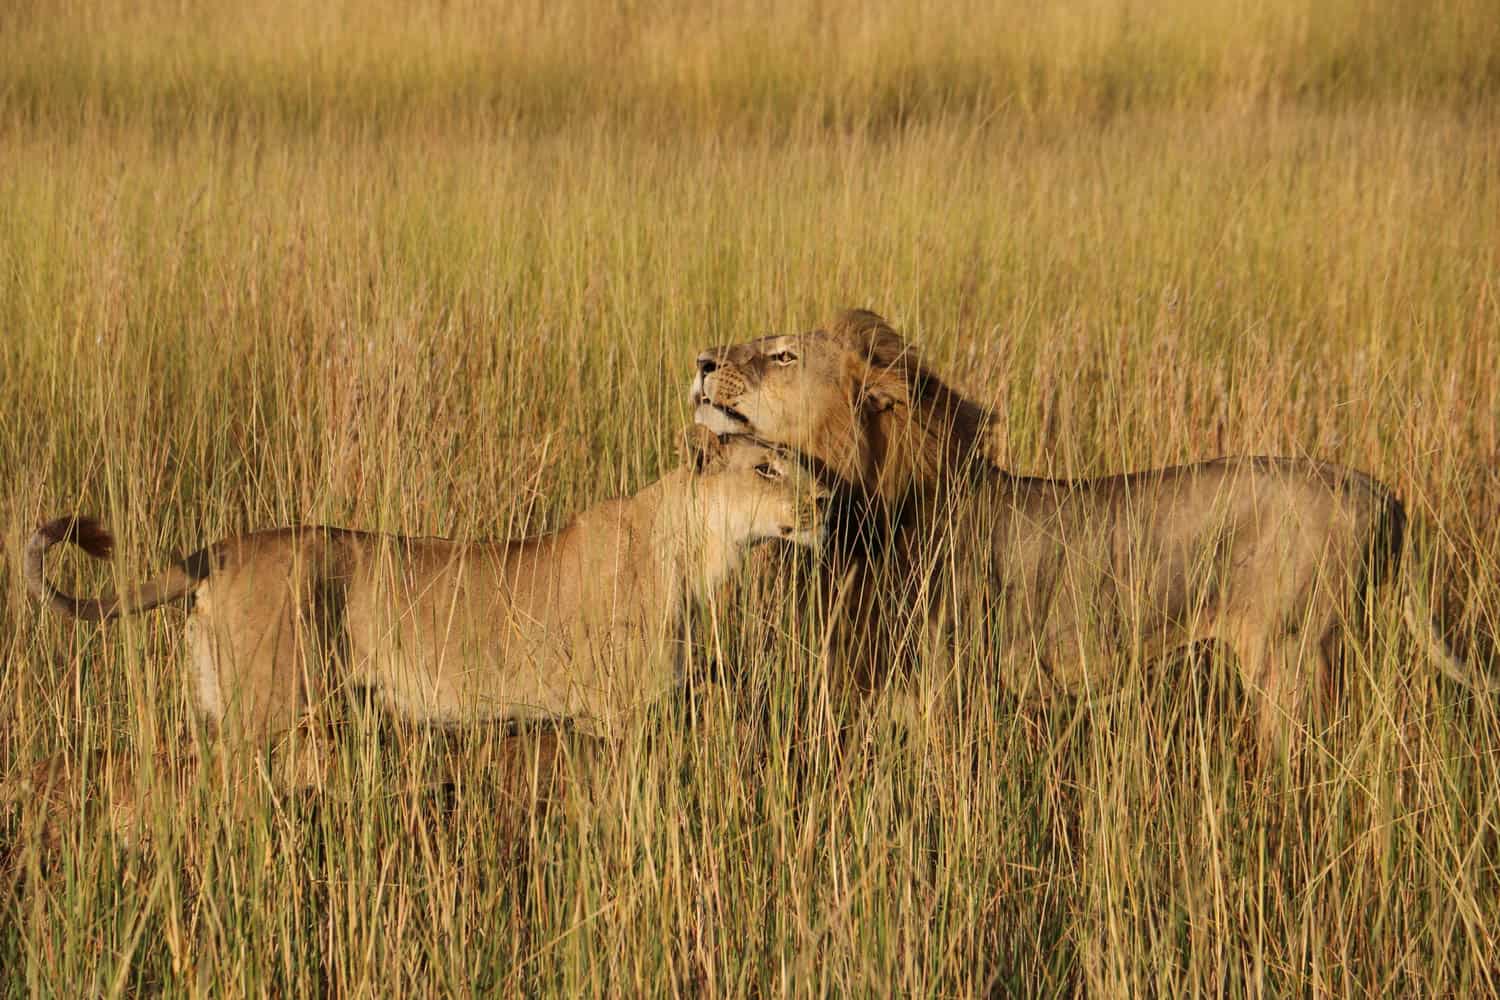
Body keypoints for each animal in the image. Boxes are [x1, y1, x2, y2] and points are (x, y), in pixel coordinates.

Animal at [20, 428, 828, 796]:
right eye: (765, 468)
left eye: (796, 462)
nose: (825, 502)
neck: (697, 549)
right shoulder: (620, 716)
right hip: (262, 711)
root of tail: (218, 549)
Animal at [692, 308, 1495, 754]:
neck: (865, 505)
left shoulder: (947, 697)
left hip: (1290, 662)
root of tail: (1382, 494)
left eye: (783, 354)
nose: (700, 360)